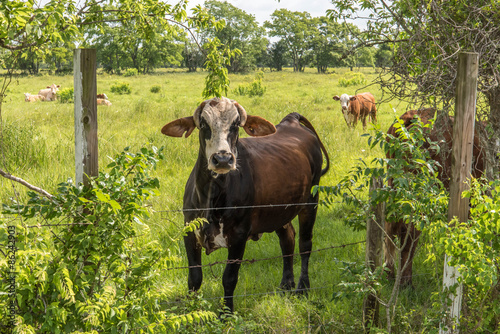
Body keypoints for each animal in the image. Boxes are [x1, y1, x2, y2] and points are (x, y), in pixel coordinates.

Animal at [162, 96, 330, 314]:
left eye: (235, 125)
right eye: (204, 124)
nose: (222, 158)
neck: (211, 196)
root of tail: (291, 120)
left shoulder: (239, 236)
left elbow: (229, 278)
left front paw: (226, 314)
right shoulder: (189, 232)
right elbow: (194, 278)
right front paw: (192, 311)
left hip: (310, 203)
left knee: (305, 245)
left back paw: (302, 287)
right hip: (279, 211)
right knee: (288, 240)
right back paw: (286, 284)